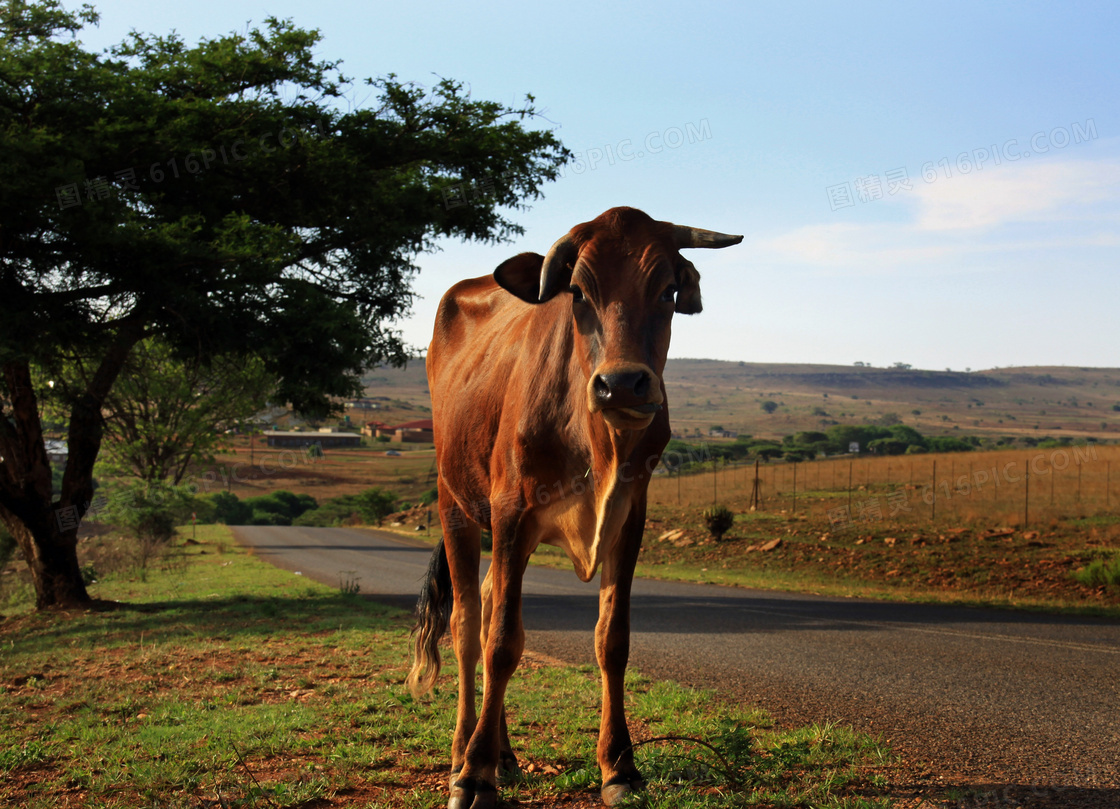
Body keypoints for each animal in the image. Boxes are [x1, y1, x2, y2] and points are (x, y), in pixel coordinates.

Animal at [407, 205, 739, 802]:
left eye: (668, 290)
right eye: (579, 292)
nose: (623, 385)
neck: (596, 440)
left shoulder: (630, 516)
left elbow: (612, 639)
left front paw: (620, 766)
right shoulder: (511, 512)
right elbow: (502, 643)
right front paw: (473, 774)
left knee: (487, 606)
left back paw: (504, 755)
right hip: (455, 504)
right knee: (468, 626)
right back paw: (463, 752)